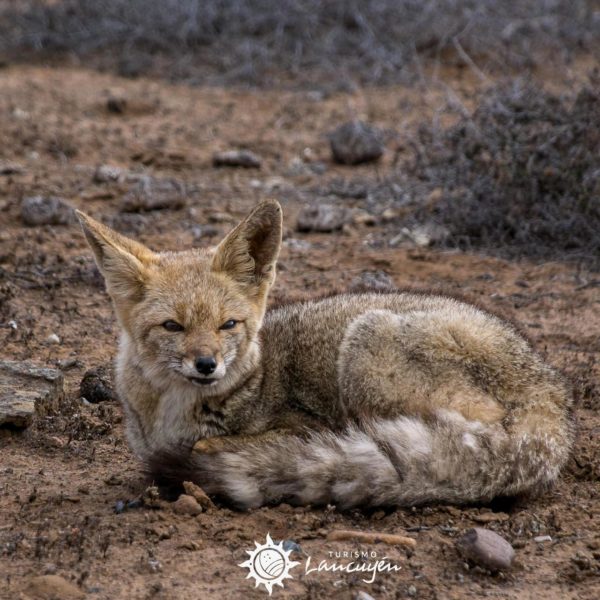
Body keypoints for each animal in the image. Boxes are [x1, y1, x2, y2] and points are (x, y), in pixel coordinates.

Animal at [77, 199, 576, 508]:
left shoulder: (302, 424)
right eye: (173, 326)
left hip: (365, 346)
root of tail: (552, 391)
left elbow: (208, 443)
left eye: (228, 325)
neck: (173, 411)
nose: (206, 366)